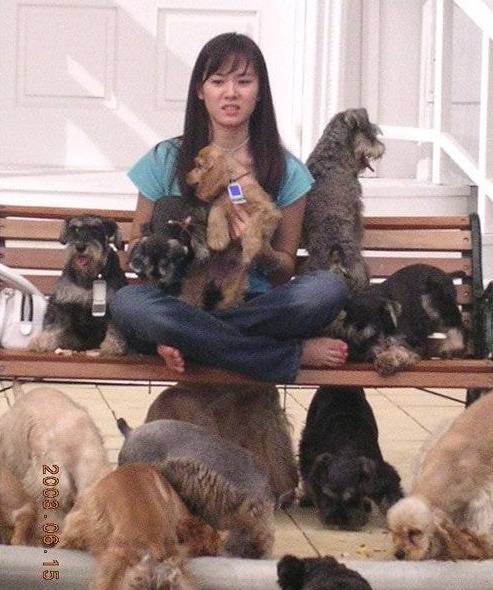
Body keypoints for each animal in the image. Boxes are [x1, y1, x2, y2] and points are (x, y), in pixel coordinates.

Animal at [28, 215, 128, 355]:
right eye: (75, 228)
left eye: (96, 229)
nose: (80, 247)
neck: (90, 277)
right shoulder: (62, 303)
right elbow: (53, 324)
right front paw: (43, 341)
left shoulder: (111, 305)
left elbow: (114, 327)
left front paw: (113, 346)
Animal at [299, 387, 403, 530]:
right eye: (327, 495)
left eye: (351, 499)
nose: (337, 522)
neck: (346, 447)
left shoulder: (379, 469)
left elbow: (389, 493)